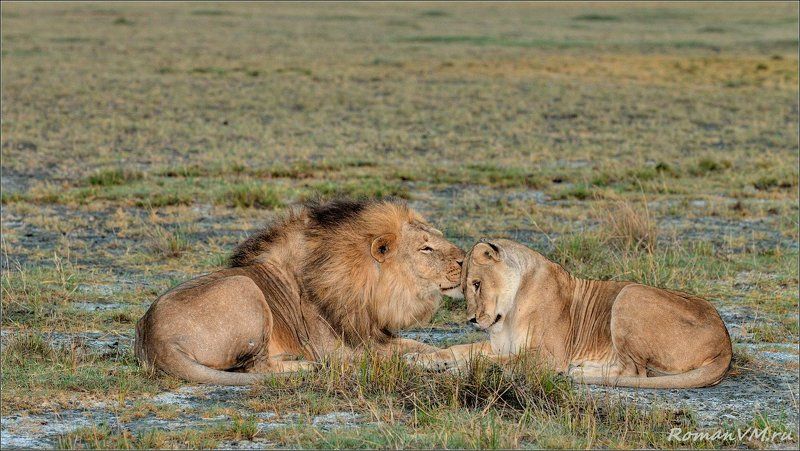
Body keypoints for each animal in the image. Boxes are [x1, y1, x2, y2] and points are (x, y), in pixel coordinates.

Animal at [135, 199, 465, 385]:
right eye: (426, 248)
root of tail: (155, 339)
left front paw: (440, 356)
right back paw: (305, 365)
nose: (464, 259)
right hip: (244, 286)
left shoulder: (370, 334)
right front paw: (434, 360)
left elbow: (417, 344)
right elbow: (398, 355)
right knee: (253, 368)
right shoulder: (338, 349)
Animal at [409, 238, 732, 389]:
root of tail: (726, 345)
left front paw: (458, 370)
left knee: (636, 372)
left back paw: (579, 372)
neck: (508, 312)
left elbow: (494, 360)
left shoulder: (549, 356)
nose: (472, 320)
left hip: (629, 294)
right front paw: (419, 359)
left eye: (477, 284)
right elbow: (458, 349)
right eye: (463, 290)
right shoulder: (500, 345)